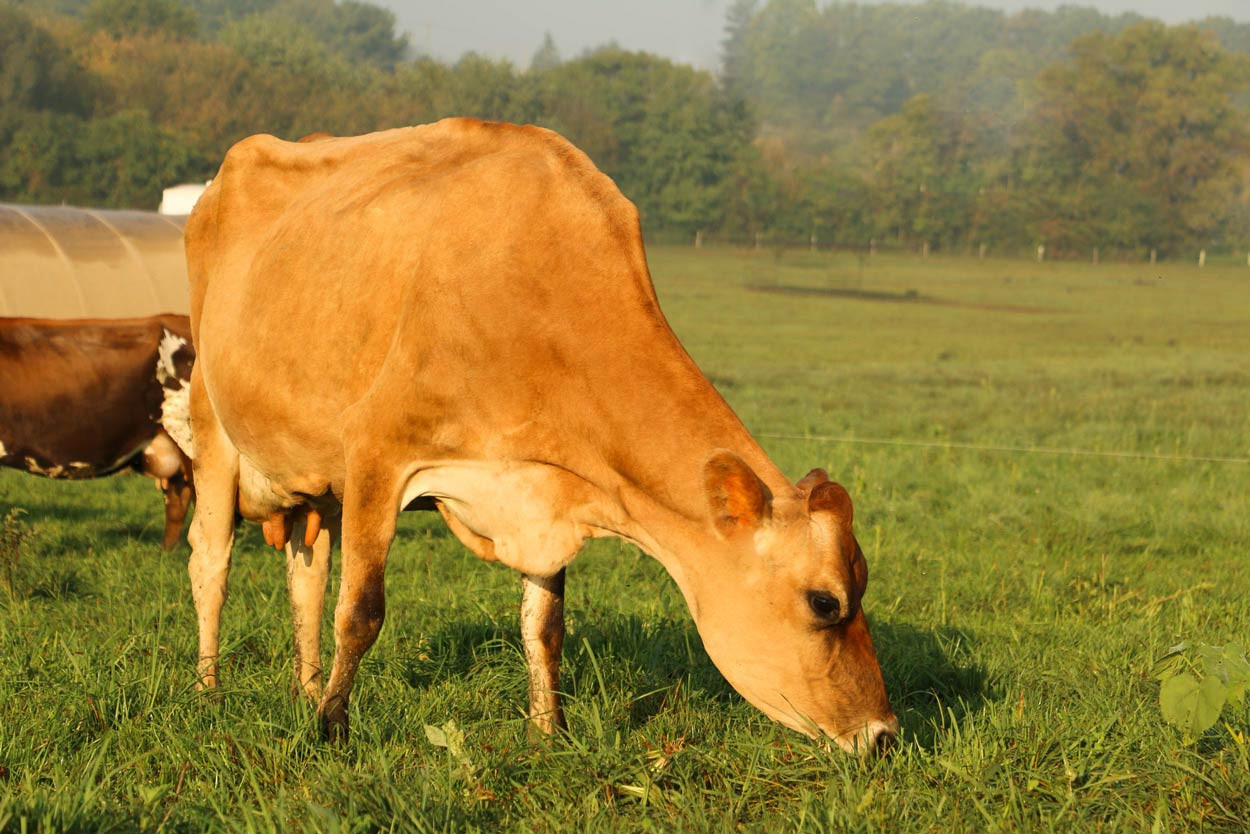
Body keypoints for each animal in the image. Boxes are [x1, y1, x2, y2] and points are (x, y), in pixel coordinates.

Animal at [184, 118, 898, 754]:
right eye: (825, 602)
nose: (885, 736)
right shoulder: (376, 456)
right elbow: (360, 612)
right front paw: (332, 729)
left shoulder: (546, 489)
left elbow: (545, 626)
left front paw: (549, 731)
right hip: (210, 420)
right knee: (211, 561)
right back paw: (210, 690)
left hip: (315, 480)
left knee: (306, 569)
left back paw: (304, 689)